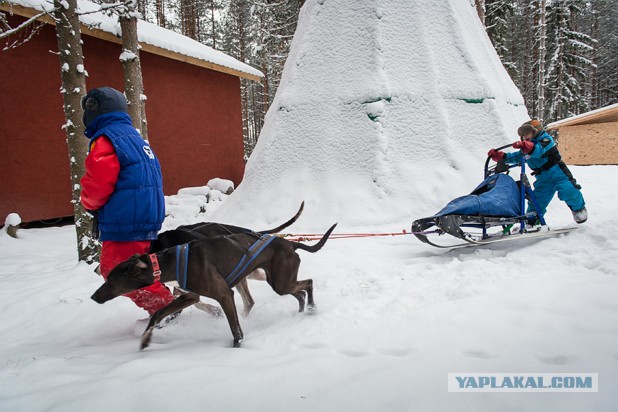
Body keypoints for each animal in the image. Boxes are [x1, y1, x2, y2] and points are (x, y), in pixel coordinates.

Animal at [90, 224, 336, 350]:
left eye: (109, 281)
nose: (93, 297)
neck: (170, 262)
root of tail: (290, 243)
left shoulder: (224, 294)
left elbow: (235, 328)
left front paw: (237, 346)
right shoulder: (188, 296)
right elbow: (158, 314)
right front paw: (145, 339)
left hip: (281, 282)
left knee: (308, 283)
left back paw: (311, 308)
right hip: (280, 282)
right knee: (300, 291)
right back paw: (303, 309)